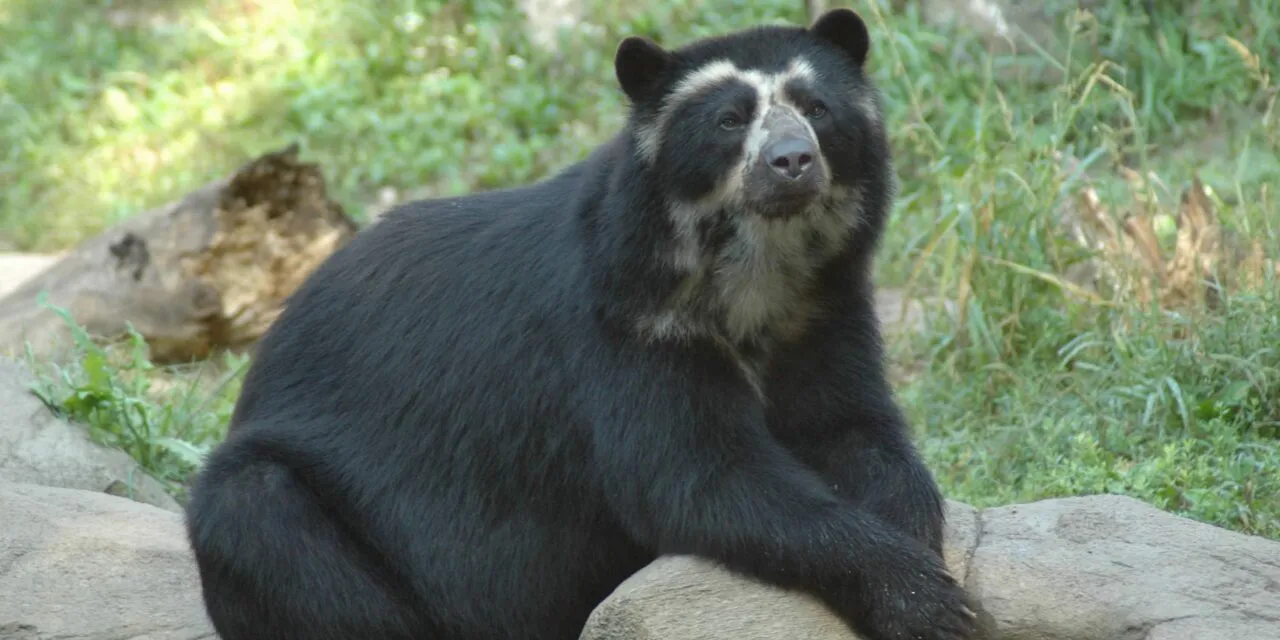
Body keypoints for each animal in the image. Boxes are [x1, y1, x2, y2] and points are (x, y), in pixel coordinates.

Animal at [185, 8, 972, 640]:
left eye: (817, 107)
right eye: (729, 120)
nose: (792, 162)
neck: (753, 271)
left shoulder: (823, 309)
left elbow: (856, 430)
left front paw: (915, 537)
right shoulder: (628, 328)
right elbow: (701, 475)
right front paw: (925, 601)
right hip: (290, 511)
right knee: (263, 517)